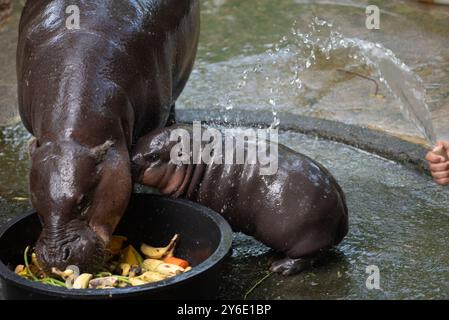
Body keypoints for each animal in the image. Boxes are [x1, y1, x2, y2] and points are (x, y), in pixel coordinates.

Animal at [131, 125, 348, 276]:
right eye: (138, 138)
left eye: (154, 156)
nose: (130, 158)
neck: (197, 160)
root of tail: (340, 202)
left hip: (306, 237)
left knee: (310, 256)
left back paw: (280, 267)